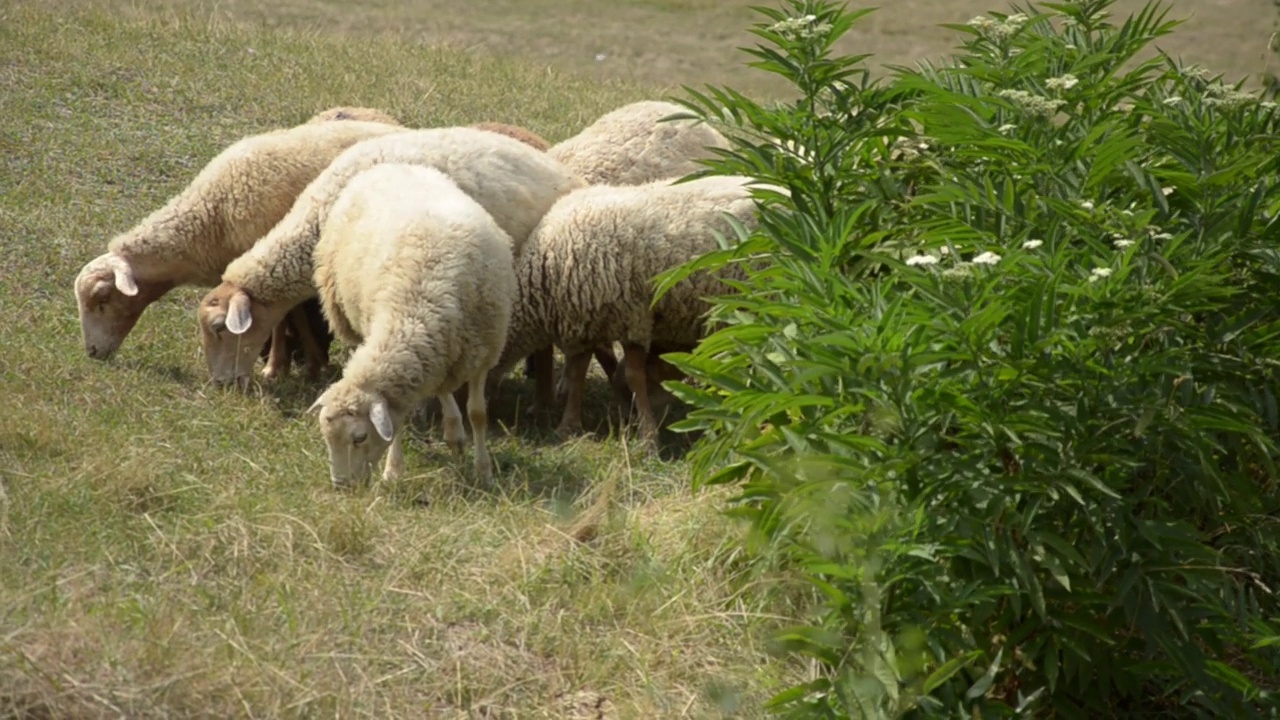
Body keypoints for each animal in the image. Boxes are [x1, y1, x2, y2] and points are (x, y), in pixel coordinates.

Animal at [307, 162, 512, 484]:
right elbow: (396, 424)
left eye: (359, 437)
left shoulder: (483, 353)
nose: (341, 486)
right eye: (327, 437)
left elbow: (478, 413)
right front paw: (393, 471)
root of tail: (389, 165)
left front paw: (484, 471)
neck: (418, 310)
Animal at [491, 176, 768, 440]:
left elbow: (633, 377)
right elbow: (579, 373)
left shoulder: (632, 319)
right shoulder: (584, 323)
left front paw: (648, 436)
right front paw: (568, 426)